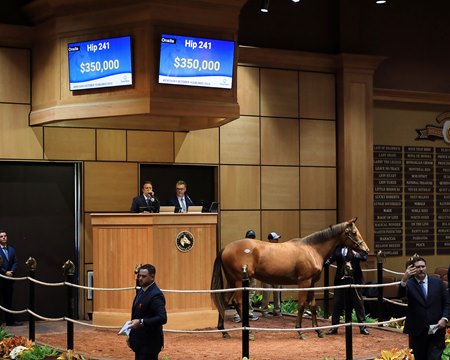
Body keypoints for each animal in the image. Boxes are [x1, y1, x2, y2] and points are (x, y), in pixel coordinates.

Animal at [211, 218, 370, 338]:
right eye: (354, 232)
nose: (366, 250)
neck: (311, 249)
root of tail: (225, 248)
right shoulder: (304, 282)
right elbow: (301, 305)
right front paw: (300, 331)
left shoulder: (312, 283)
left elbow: (312, 306)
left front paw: (318, 331)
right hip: (239, 281)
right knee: (237, 303)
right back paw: (248, 333)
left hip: (232, 281)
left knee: (224, 301)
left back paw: (224, 331)